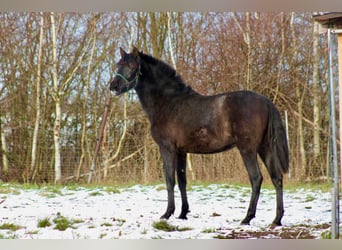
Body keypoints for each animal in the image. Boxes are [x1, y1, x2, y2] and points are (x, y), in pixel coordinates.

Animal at [109, 47, 288, 227]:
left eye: (132, 66)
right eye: (118, 64)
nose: (113, 86)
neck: (168, 103)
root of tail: (266, 102)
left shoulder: (167, 149)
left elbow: (169, 180)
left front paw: (167, 213)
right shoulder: (181, 151)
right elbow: (182, 181)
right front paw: (183, 213)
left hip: (248, 149)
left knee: (256, 178)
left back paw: (247, 218)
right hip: (265, 148)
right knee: (277, 178)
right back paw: (276, 219)